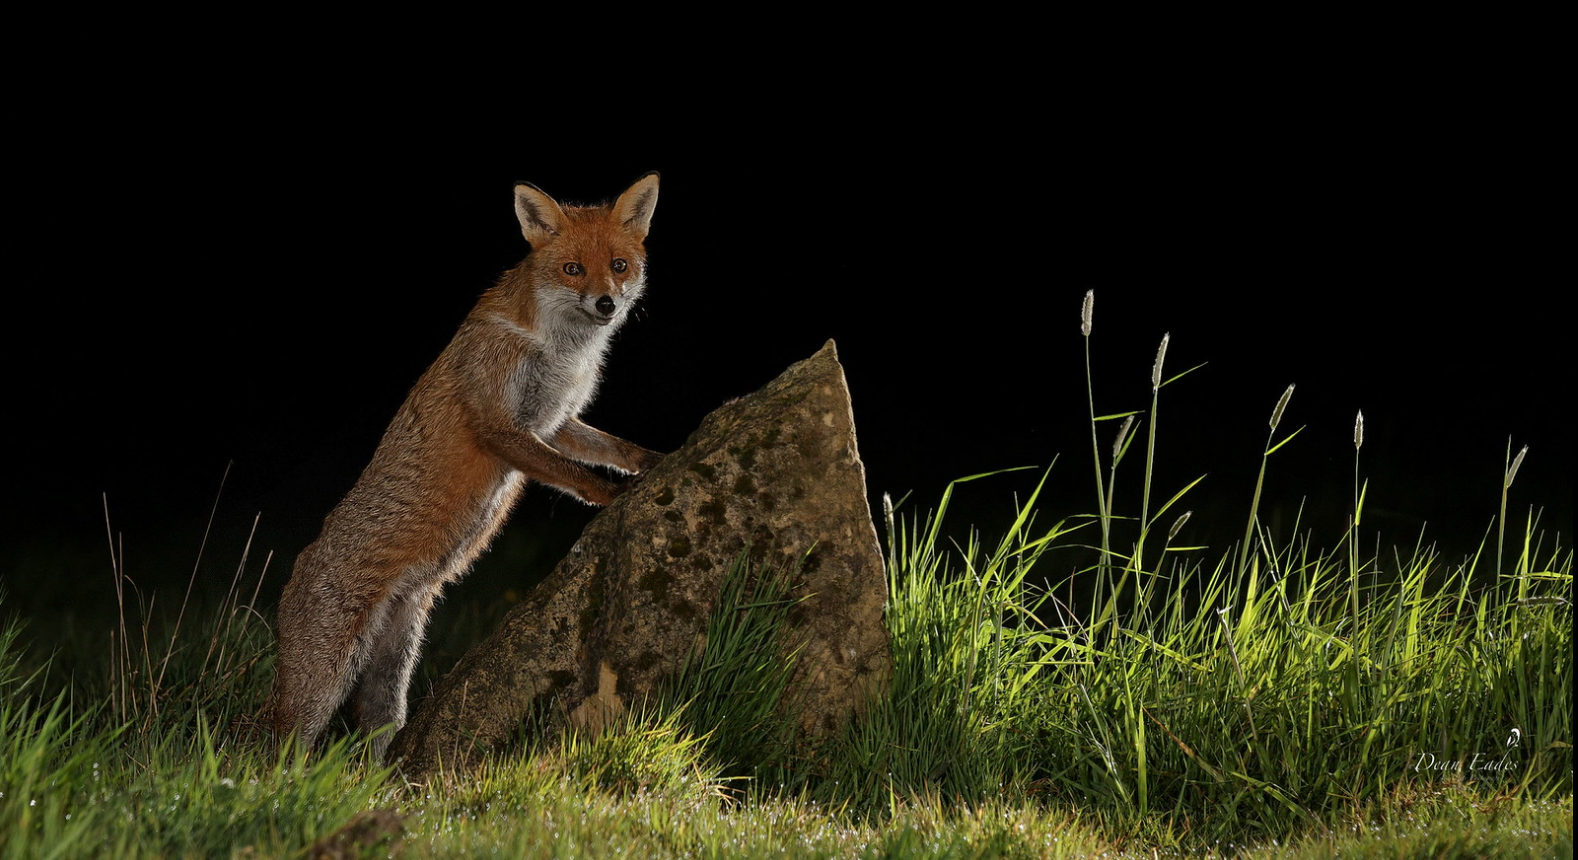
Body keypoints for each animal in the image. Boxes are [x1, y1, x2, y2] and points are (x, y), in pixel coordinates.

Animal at [263, 173, 666, 759]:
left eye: (618, 264)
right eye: (572, 269)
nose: (607, 303)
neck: (562, 351)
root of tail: (293, 572)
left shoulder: (554, 422)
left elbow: (612, 450)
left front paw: (655, 461)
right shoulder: (499, 424)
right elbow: (576, 477)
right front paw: (615, 498)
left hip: (392, 672)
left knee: (377, 734)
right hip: (325, 681)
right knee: (275, 743)